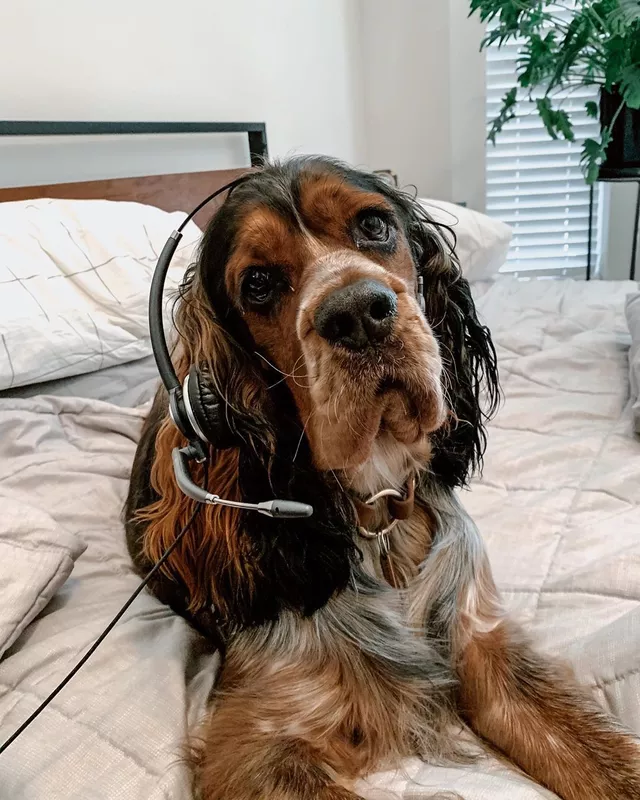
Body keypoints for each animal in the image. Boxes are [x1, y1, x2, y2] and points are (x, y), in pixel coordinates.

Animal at [125, 158, 640, 800]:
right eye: (258, 284)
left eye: (373, 225)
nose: (356, 312)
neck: (381, 512)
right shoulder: (261, 736)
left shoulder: (484, 649)